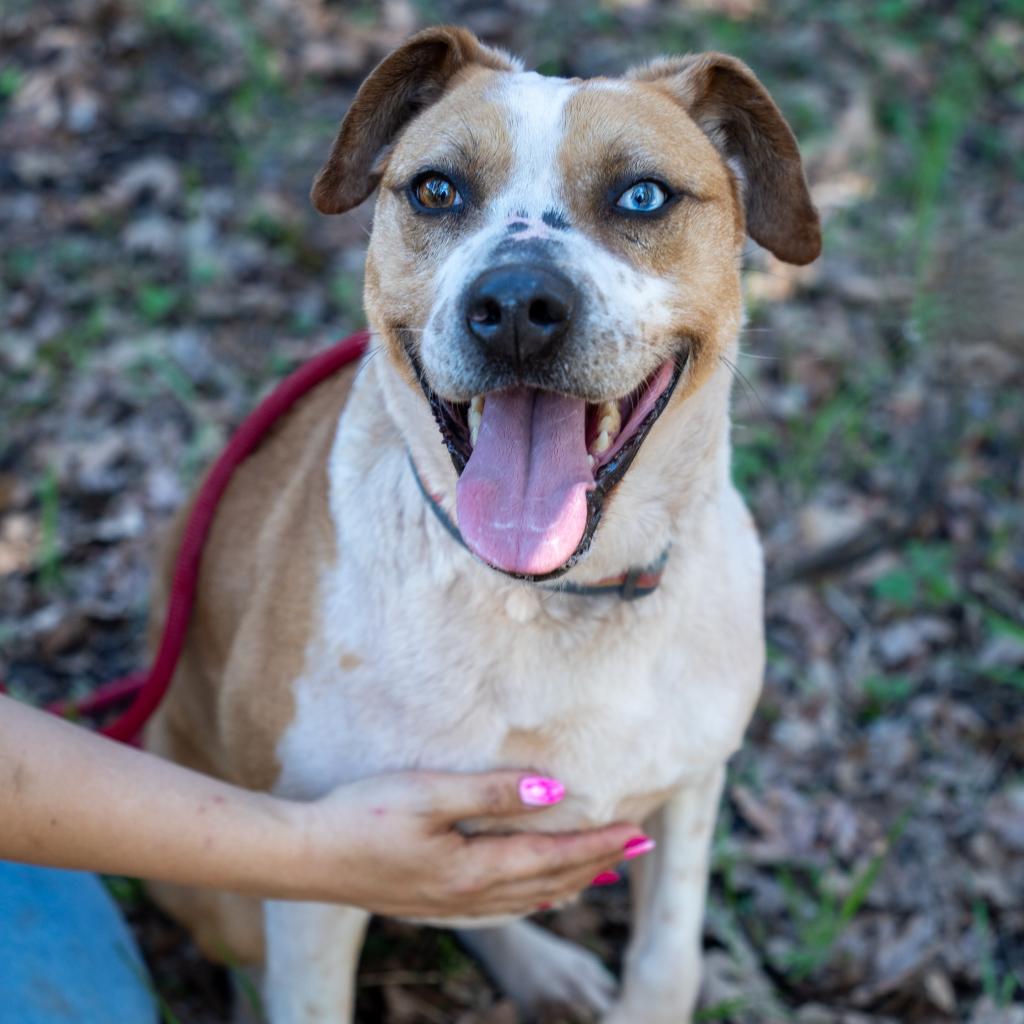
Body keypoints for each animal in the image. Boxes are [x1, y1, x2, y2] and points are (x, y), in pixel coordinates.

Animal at [144, 24, 819, 1024]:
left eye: (643, 195)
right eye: (437, 190)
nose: (515, 308)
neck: (554, 601)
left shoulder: (692, 784)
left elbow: (667, 961)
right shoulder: (312, 875)